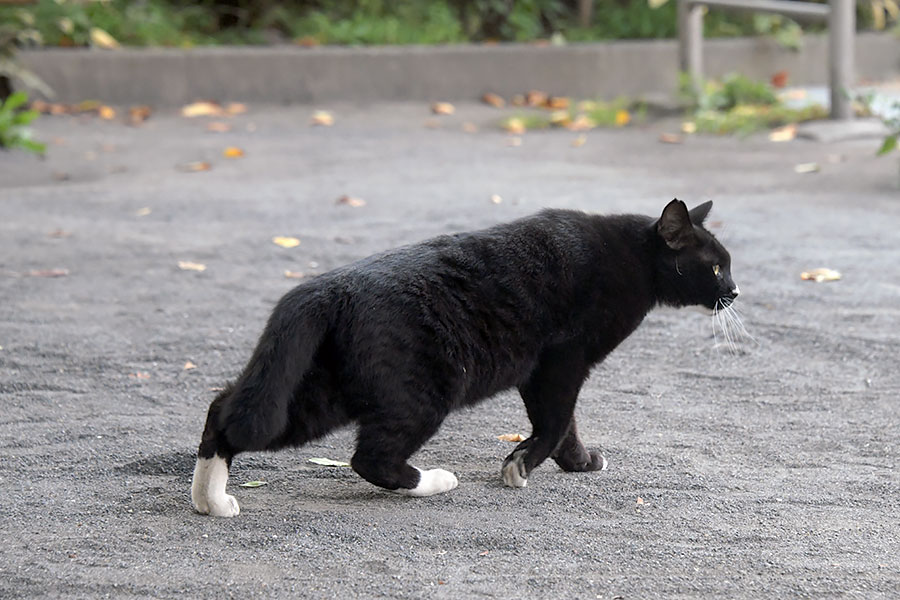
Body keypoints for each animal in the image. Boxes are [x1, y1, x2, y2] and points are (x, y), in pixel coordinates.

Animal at [190, 198, 740, 516]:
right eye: (715, 267)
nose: (735, 290)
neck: (632, 258)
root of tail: (329, 288)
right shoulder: (561, 362)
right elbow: (556, 421)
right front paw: (521, 465)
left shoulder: (552, 369)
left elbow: (567, 425)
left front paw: (579, 463)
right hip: (423, 393)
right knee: (371, 458)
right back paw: (436, 481)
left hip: (323, 393)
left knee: (228, 412)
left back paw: (210, 501)